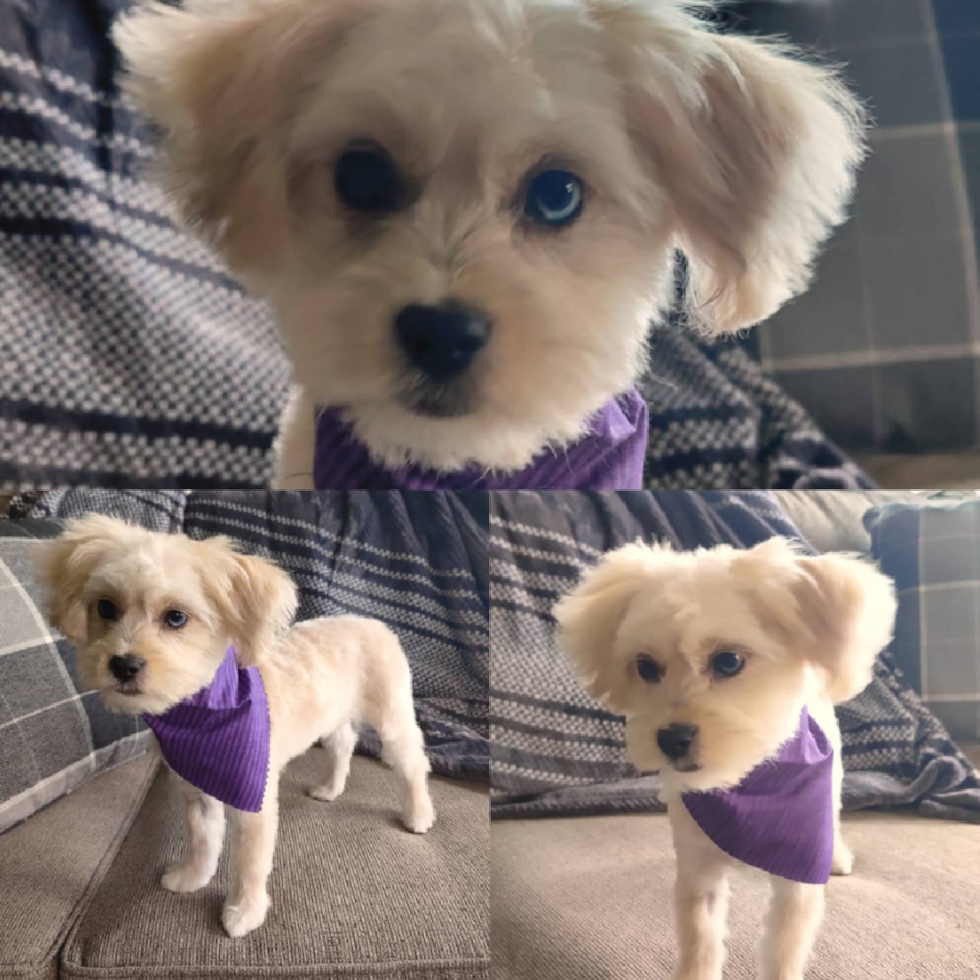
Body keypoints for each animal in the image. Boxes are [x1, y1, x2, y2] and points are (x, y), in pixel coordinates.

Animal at [35, 516, 432, 936]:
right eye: (106, 607)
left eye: (176, 617)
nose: (124, 665)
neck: (200, 714)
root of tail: (370, 620)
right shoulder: (197, 791)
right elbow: (203, 842)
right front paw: (192, 877)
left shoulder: (254, 797)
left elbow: (250, 863)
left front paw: (245, 910)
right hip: (333, 715)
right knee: (344, 744)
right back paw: (330, 787)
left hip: (392, 718)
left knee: (413, 765)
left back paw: (419, 814)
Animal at [552, 536, 896, 980]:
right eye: (646, 667)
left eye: (728, 661)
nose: (672, 738)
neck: (745, 784)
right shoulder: (697, 872)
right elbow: (700, 940)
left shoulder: (798, 878)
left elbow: (783, 951)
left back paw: (837, 856)